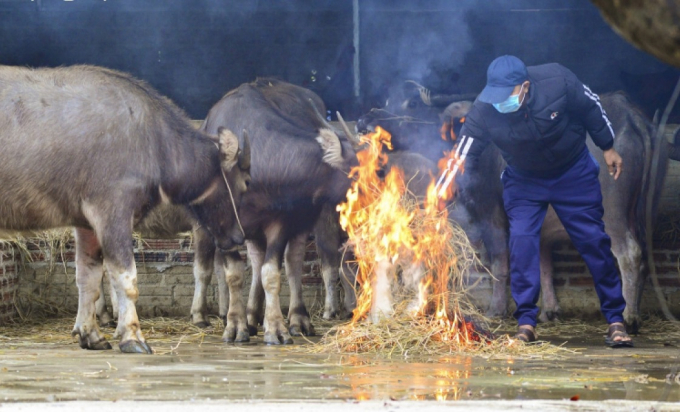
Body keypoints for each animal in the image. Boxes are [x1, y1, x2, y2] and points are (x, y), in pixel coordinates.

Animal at [0, 64, 250, 354]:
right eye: (245, 183)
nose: (239, 236)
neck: (153, 142)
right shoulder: (113, 212)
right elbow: (127, 279)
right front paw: (133, 336)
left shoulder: (86, 224)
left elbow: (88, 278)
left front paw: (91, 335)